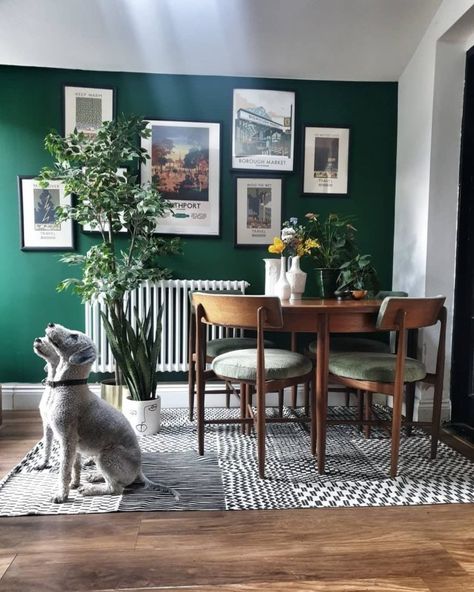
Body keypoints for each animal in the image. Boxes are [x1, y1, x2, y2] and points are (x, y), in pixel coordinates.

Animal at [42, 324, 180, 504]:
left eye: (74, 336)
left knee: (116, 488)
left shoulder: (67, 439)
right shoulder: (73, 444)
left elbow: (64, 470)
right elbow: (75, 465)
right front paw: (74, 484)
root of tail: (139, 471)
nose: (51, 324)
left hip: (105, 456)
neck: (68, 387)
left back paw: (90, 489)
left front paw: (61, 495)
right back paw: (95, 477)